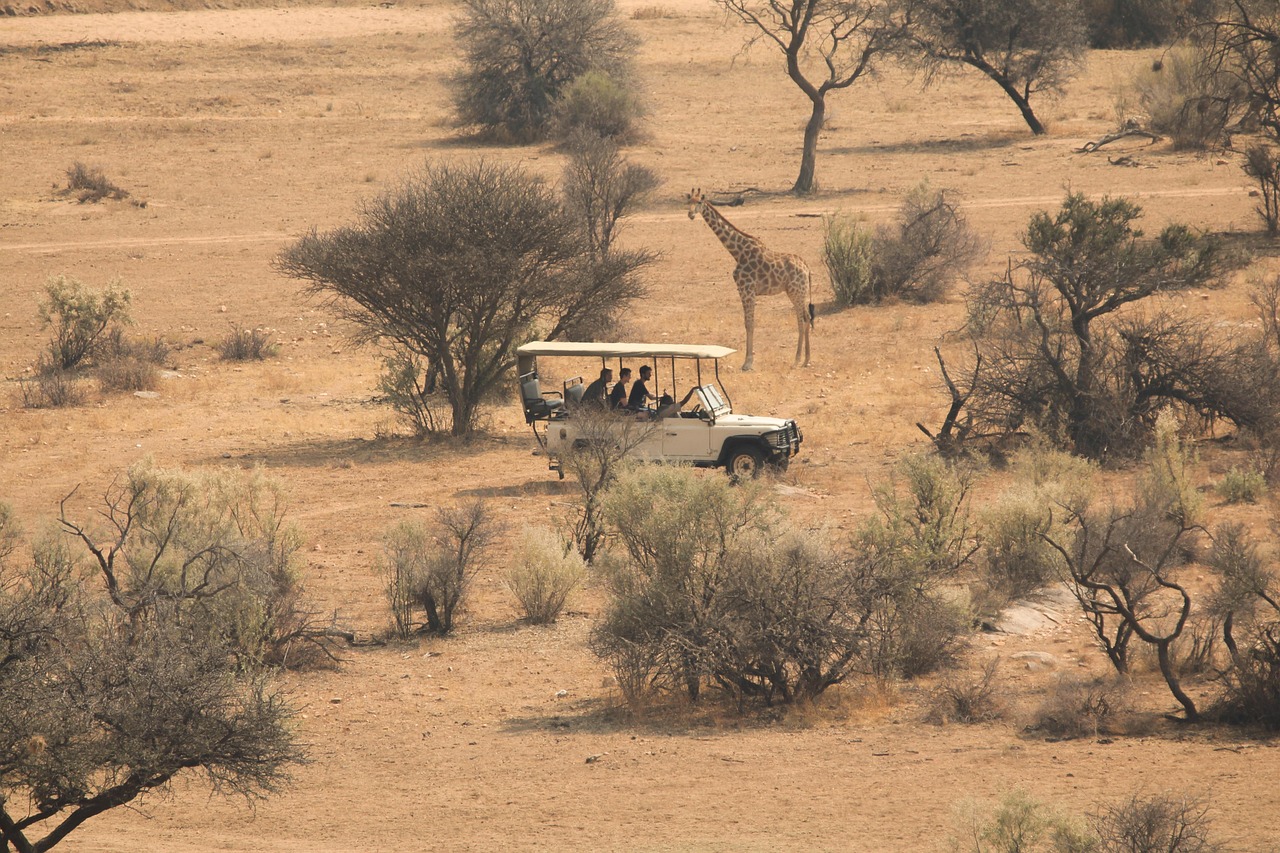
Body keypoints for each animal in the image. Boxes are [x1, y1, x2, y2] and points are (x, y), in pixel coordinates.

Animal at [686, 188, 813, 372]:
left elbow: (749, 323)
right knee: (806, 318)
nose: (690, 214)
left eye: (699, 202)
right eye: (689, 201)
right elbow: (747, 323)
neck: (737, 252)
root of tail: (807, 268)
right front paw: (747, 361)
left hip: (797, 291)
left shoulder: (747, 290)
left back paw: (797, 360)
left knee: (802, 319)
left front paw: (747, 362)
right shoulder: (743, 290)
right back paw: (806, 360)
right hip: (795, 292)